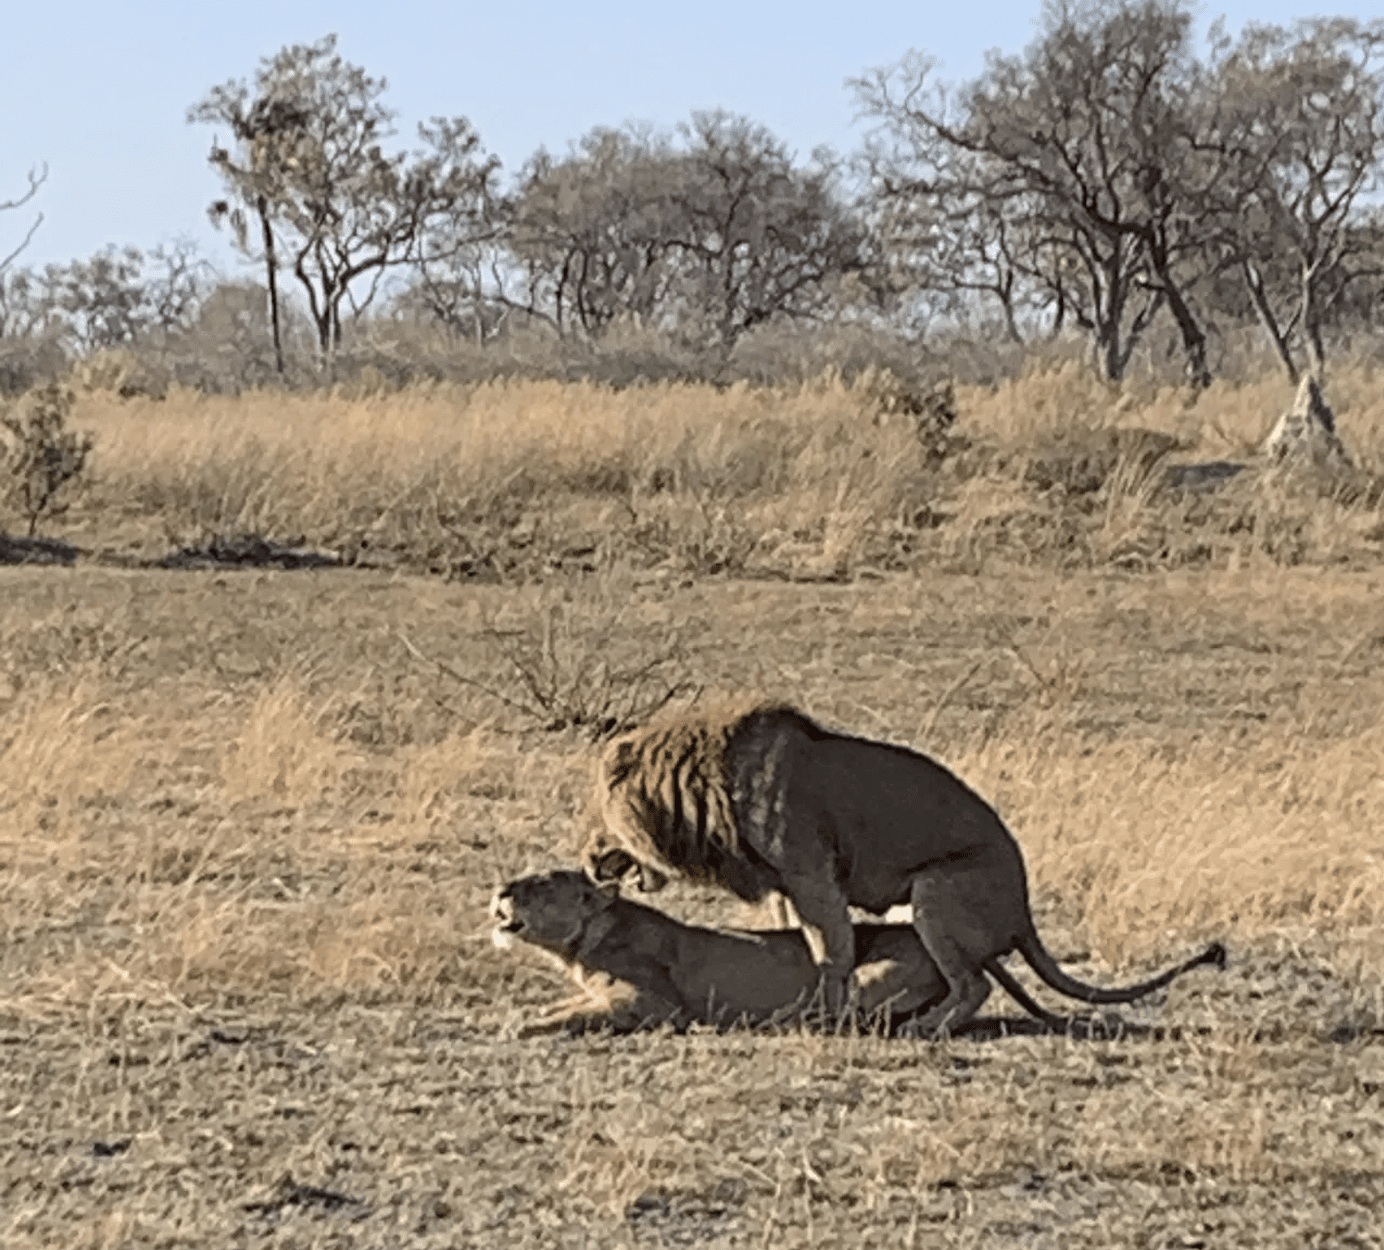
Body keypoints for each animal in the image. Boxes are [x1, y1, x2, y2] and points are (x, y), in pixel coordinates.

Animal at [578, 703, 1228, 1035]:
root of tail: (1023, 916)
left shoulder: (813, 876)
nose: (585, 856)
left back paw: (924, 1028)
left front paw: (827, 1011)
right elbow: (796, 941)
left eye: (597, 810)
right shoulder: (786, 887)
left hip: (934, 891)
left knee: (975, 984)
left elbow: (832, 951)